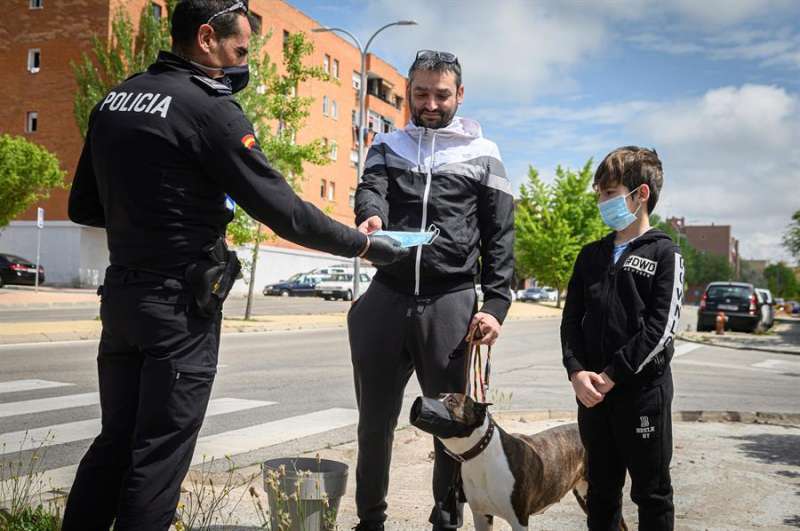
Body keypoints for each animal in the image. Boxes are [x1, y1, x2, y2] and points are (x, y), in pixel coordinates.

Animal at [410, 390, 628, 531]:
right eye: (438, 396)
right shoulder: (482, 516)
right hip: (585, 496)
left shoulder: (519, 519)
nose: (420, 403)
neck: (481, 454)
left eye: (452, 402)